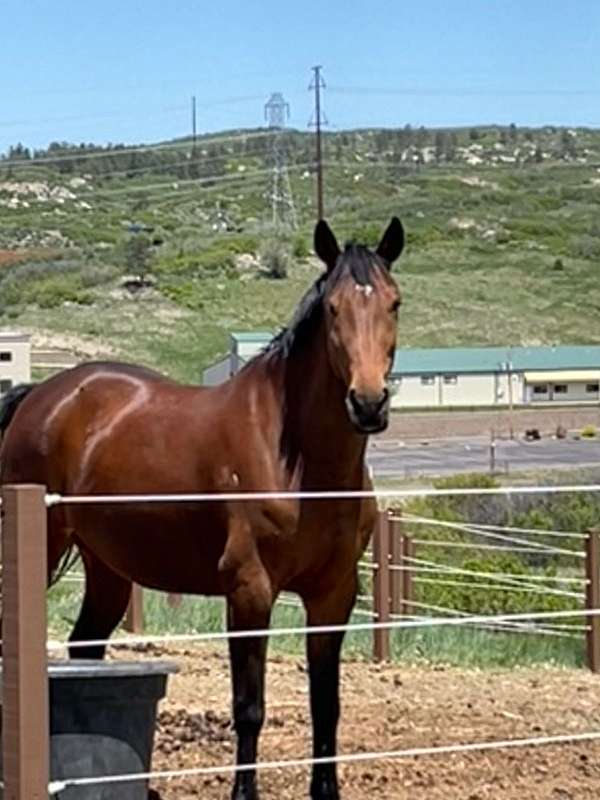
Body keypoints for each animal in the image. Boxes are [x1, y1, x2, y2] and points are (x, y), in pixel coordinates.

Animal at [0, 216, 406, 796]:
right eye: (333, 307)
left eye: (394, 303)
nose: (368, 403)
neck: (301, 464)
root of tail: (40, 396)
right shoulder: (249, 590)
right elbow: (249, 707)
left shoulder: (334, 594)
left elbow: (327, 707)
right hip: (43, 546)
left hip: (108, 568)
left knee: (85, 649)